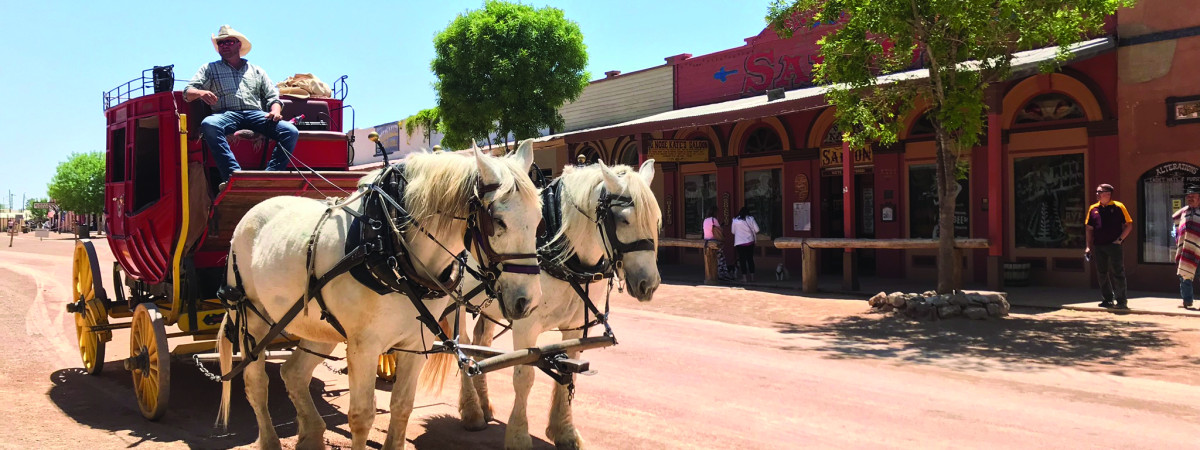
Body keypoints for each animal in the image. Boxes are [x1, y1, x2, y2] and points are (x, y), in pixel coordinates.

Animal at [217, 141, 544, 450]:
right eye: (498, 221)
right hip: (254, 320)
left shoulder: (416, 343)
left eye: (540, 217)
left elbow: (402, 406)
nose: (528, 301)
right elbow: (362, 416)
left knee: (293, 373)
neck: (390, 245)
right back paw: (271, 439)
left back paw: (311, 435)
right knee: (255, 382)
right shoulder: (364, 346)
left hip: (319, 326)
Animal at [446, 160, 667, 448]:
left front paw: (564, 431)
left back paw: (484, 404)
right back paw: (472, 411)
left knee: (479, 344)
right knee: (460, 347)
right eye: (624, 219)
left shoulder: (576, 327)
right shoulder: (525, 325)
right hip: (456, 302)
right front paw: (518, 436)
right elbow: (524, 376)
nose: (648, 284)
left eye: (655, 221)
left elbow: (569, 371)